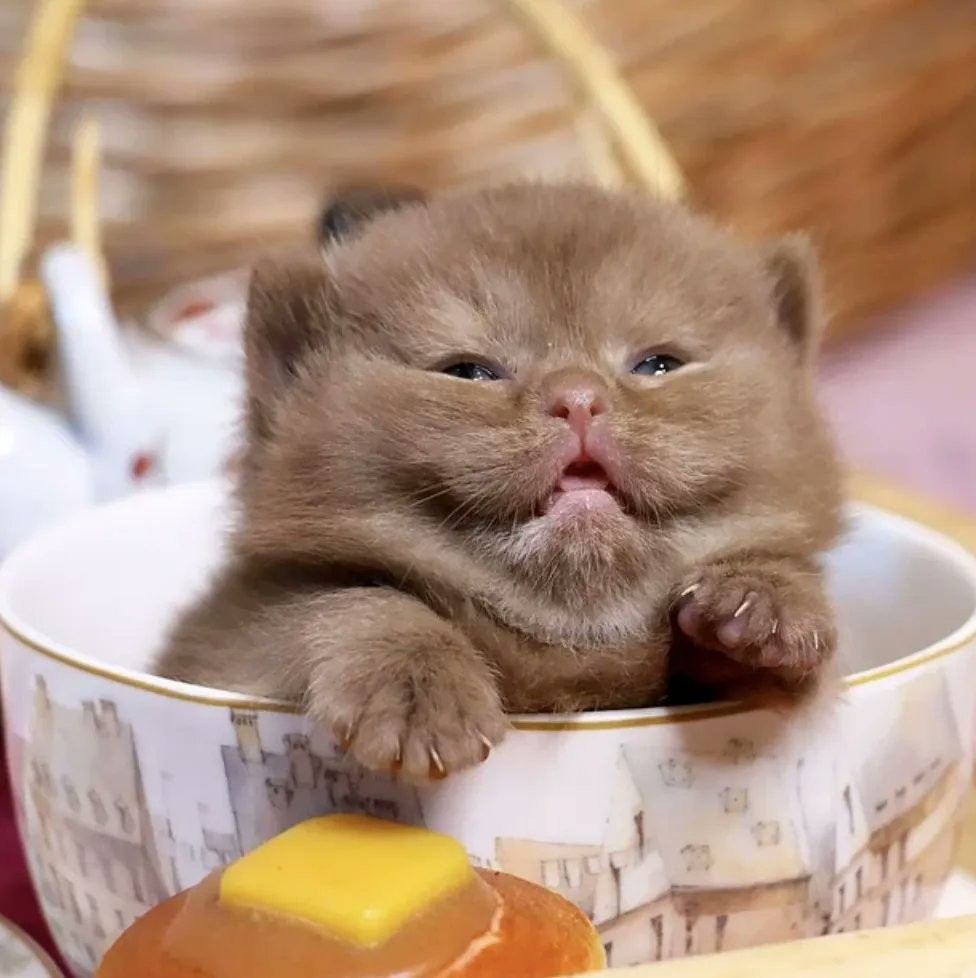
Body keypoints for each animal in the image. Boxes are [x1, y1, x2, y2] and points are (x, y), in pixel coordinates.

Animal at [156, 181, 844, 776]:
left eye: (658, 364)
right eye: (469, 371)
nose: (579, 398)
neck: (569, 644)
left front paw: (763, 598)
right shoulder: (228, 637)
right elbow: (347, 599)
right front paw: (416, 685)